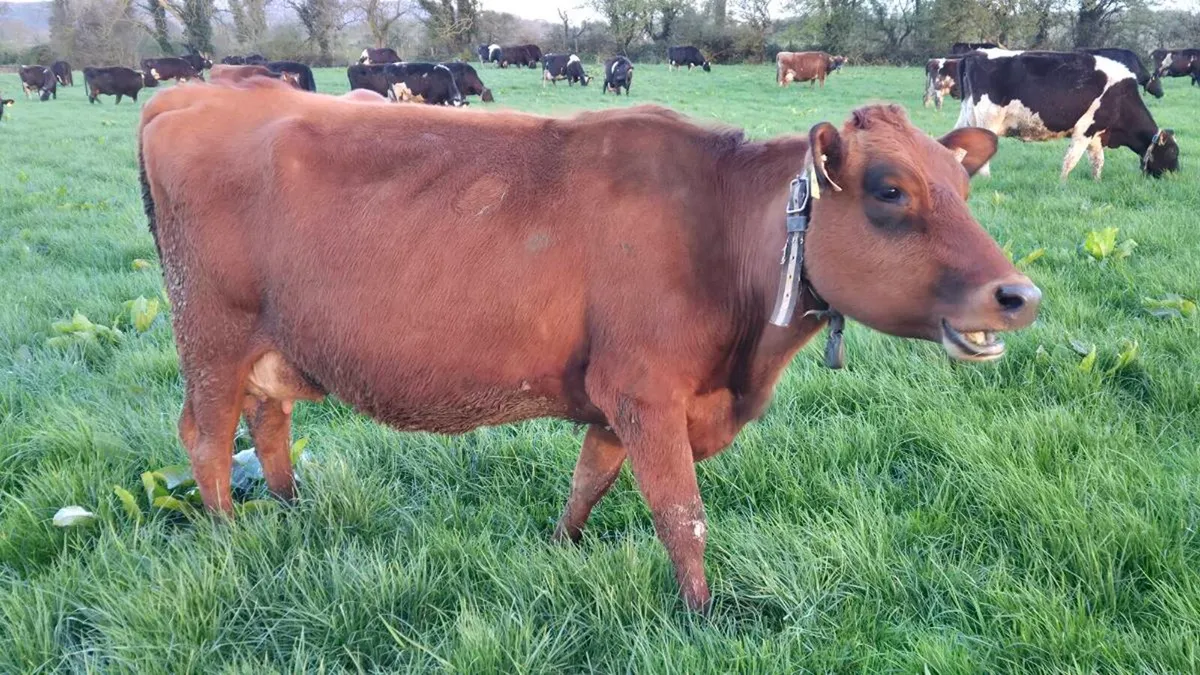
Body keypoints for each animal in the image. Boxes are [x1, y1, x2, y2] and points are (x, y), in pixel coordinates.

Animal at [139, 80, 1041, 612]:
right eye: (891, 190)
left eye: (963, 188)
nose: (1020, 295)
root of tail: (202, 88)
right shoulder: (648, 391)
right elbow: (682, 514)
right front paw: (702, 616)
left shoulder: (617, 396)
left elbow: (589, 480)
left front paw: (558, 549)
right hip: (211, 336)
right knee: (205, 435)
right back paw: (229, 536)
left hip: (273, 345)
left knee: (270, 420)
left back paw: (294, 512)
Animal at [955, 49, 1178, 180]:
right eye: (1173, 152)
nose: (1176, 175)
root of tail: (976, 53)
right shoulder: (1084, 129)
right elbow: (1071, 160)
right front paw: (1062, 184)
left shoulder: (1096, 132)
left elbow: (1097, 161)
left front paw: (1096, 182)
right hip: (988, 120)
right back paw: (986, 179)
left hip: (967, 117)